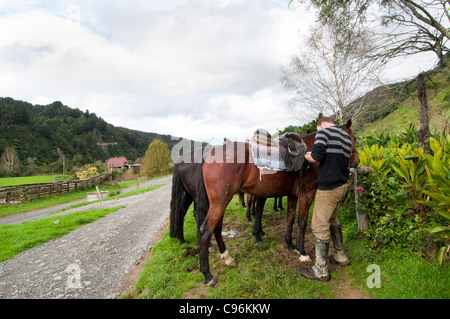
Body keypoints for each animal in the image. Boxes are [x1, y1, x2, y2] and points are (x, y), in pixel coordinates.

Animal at [198, 121, 358, 286]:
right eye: (354, 138)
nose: (356, 162)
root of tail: (207, 156)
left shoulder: (293, 195)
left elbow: (290, 218)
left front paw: (290, 245)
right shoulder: (308, 193)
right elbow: (302, 221)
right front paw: (302, 252)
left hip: (221, 202)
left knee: (217, 228)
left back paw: (227, 257)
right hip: (220, 202)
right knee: (206, 230)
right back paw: (207, 274)